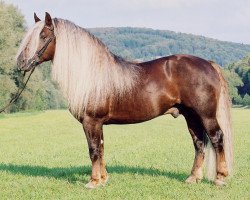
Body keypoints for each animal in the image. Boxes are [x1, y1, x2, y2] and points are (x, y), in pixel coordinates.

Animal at [17, 12, 232, 189]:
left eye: (43, 36)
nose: (20, 62)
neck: (91, 74)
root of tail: (208, 64)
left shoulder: (91, 121)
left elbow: (93, 149)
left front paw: (93, 182)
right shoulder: (98, 124)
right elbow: (101, 147)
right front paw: (103, 179)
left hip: (206, 116)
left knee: (217, 138)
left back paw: (220, 178)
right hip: (191, 116)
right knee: (199, 143)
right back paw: (193, 178)